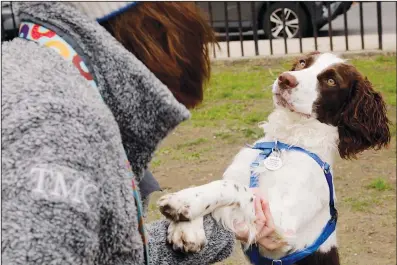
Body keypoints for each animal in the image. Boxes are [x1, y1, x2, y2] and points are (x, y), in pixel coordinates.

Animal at [156, 52, 388, 264]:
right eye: (302, 63)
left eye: (331, 81)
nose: (285, 78)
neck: (284, 143)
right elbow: (221, 186)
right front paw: (187, 228)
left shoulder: (282, 228)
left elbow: (235, 189)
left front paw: (182, 202)